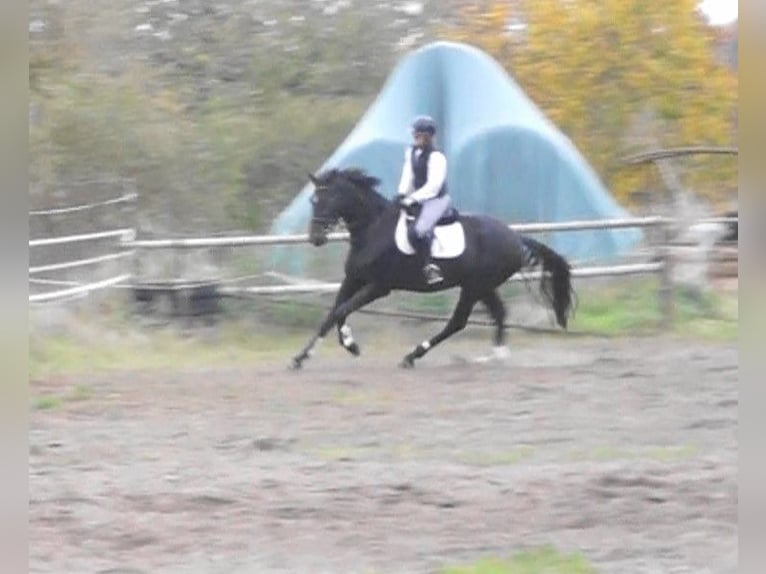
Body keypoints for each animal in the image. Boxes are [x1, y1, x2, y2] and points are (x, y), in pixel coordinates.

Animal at [290, 169, 576, 372]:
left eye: (332, 198)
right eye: (313, 200)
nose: (315, 238)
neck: (372, 230)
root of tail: (515, 237)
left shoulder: (379, 287)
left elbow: (342, 310)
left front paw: (351, 345)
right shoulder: (353, 279)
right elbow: (332, 314)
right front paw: (301, 358)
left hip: (474, 287)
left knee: (457, 322)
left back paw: (413, 356)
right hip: (482, 287)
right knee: (498, 314)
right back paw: (494, 357)